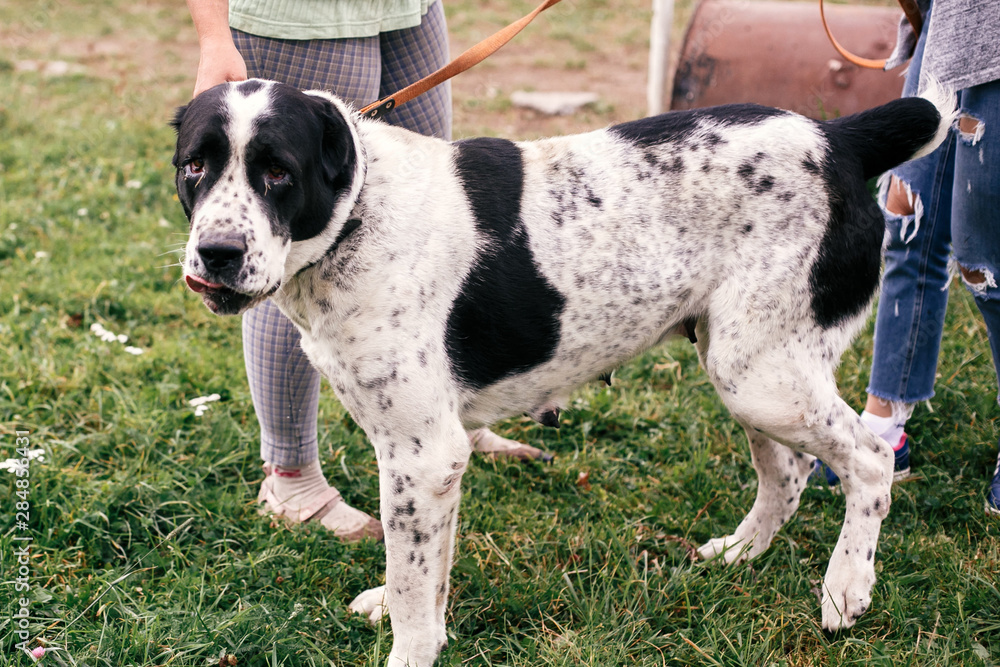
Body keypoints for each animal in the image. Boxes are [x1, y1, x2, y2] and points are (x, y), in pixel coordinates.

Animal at [172, 79, 952, 667]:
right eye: (194, 167)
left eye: (278, 171)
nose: (215, 253)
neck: (359, 211)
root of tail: (837, 138)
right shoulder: (433, 462)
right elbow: (428, 567)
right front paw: (412, 614)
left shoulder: (421, 453)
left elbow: (412, 575)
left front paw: (411, 647)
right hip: (747, 367)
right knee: (788, 472)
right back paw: (738, 553)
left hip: (763, 375)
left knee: (870, 458)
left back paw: (846, 586)